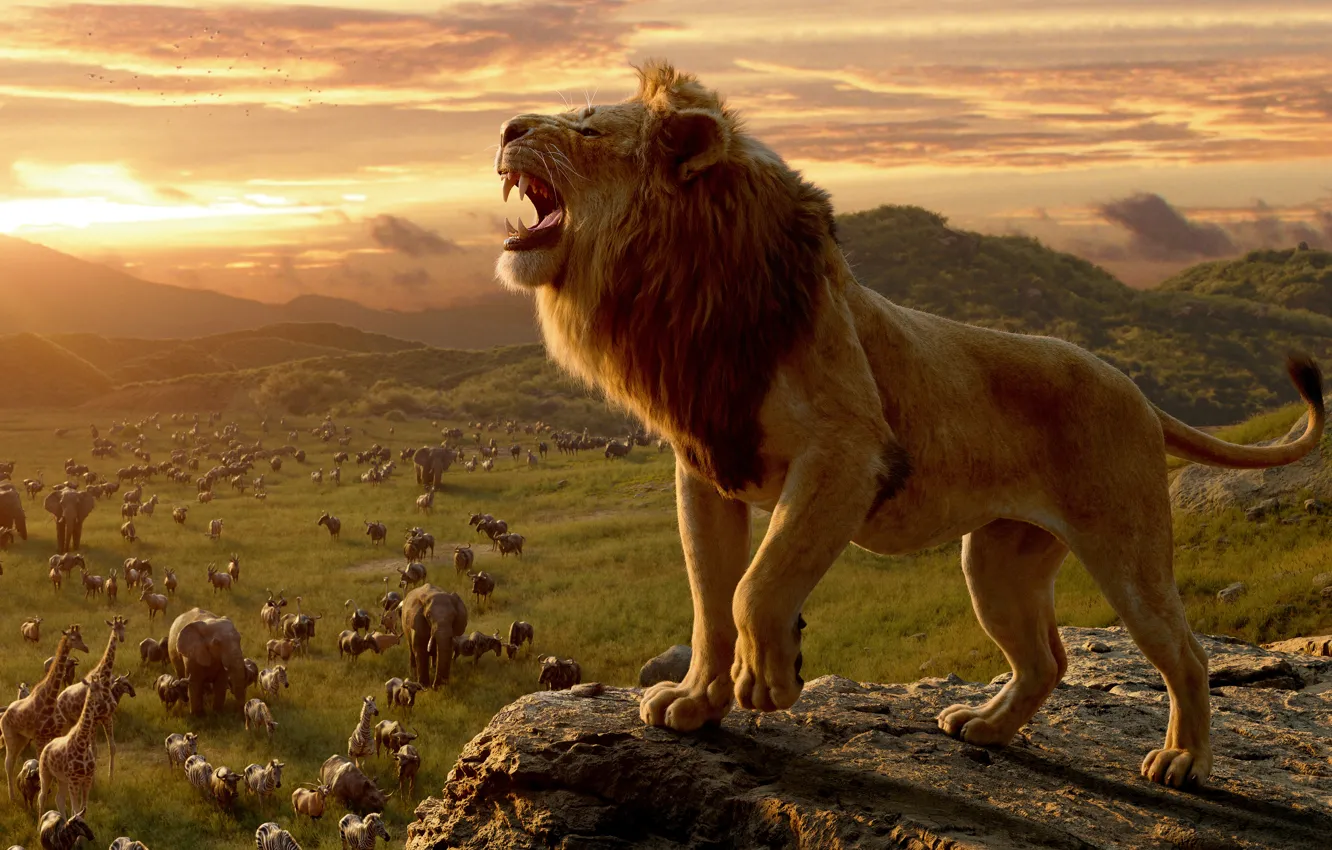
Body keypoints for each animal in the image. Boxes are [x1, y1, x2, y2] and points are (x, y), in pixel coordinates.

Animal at [491, 59, 1326, 789]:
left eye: (588, 128)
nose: (504, 126)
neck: (679, 292)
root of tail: (1138, 392)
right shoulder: (706, 468)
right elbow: (708, 601)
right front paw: (696, 704)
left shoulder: (848, 454)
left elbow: (755, 587)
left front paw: (770, 681)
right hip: (997, 563)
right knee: (1047, 659)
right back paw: (984, 728)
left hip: (1126, 549)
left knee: (1184, 652)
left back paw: (1184, 761)